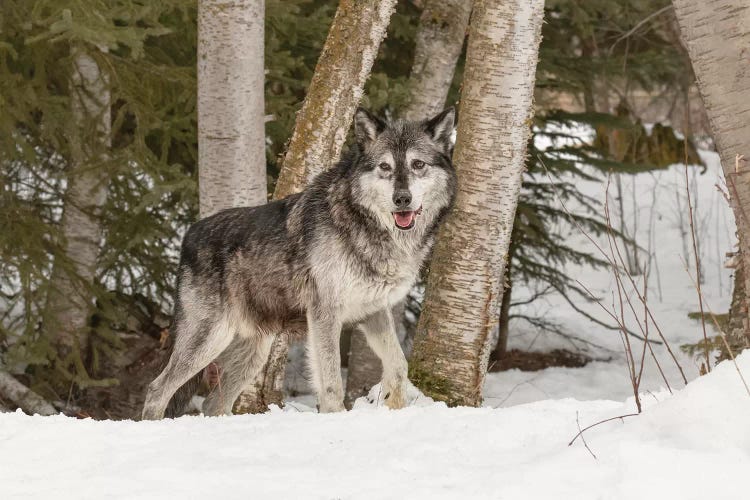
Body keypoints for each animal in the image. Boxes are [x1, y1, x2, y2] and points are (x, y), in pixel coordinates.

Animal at [142, 108, 458, 418]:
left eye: (418, 164)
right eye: (385, 167)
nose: (402, 199)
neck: (364, 224)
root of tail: (188, 234)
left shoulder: (373, 311)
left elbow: (399, 366)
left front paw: (395, 407)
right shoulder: (324, 314)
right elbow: (331, 383)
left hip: (253, 354)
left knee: (211, 404)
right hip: (210, 340)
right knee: (157, 390)